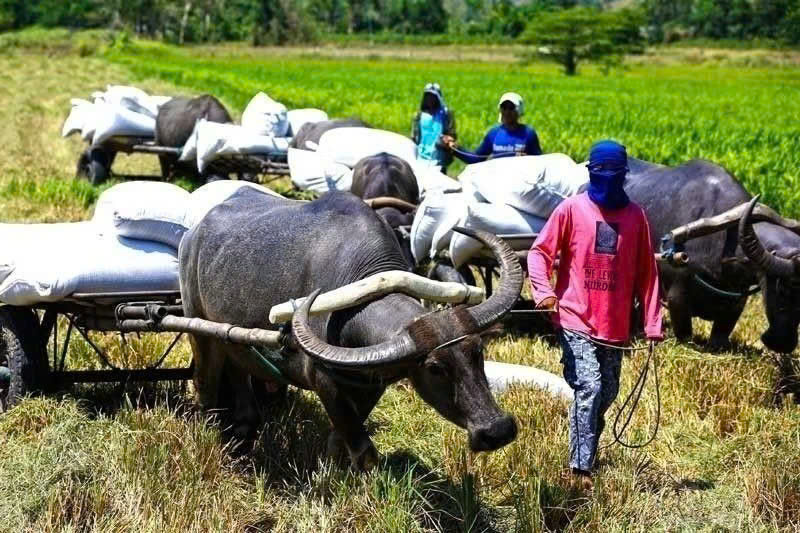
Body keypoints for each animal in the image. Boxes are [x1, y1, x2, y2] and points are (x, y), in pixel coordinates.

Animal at [178, 186, 520, 466]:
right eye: (435, 367)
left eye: (478, 351)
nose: (496, 430)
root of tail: (192, 235)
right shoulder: (322, 379)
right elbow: (362, 448)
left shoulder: (370, 383)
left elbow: (339, 438)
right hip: (199, 331)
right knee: (206, 384)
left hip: (234, 339)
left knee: (239, 372)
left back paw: (245, 428)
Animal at [624, 158, 800, 354]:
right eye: (783, 288)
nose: (783, 344)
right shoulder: (676, 295)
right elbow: (684, 333)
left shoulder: (738, 297)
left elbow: (721, 332)